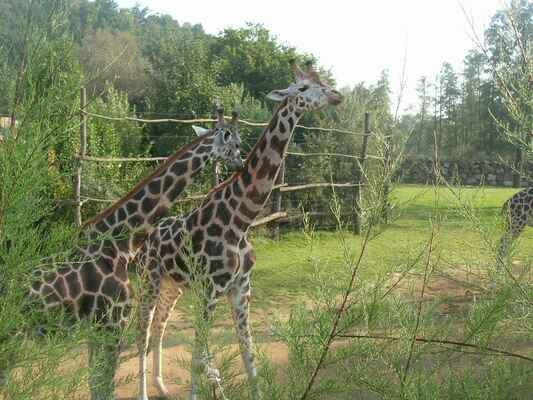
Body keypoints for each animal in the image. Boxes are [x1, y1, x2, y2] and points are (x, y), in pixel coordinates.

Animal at [133, 60, 340, 400]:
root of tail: (144, 242)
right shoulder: (210, 289)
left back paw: (161, 385)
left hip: (173, 285)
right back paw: (145, 392)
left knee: (160, 326)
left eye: (322, 82)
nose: (337, 95)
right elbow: (197, 358)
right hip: (149, 280)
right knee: (144, 330)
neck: (240, 219)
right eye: (302, 87)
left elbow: (248, 355)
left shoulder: (242, 288)